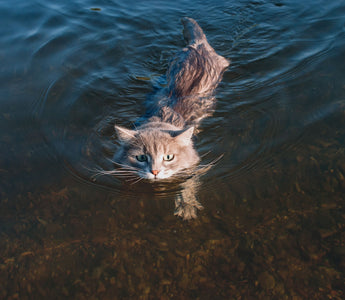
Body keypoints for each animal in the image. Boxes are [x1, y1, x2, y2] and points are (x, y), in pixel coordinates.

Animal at [112, 17, 228, 219]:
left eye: (168, 157)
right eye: (141, 157)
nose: (155, 171)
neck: (161, 118)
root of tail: (198, 44)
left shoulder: (194, 166)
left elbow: (189, 184)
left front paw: (187, 206)